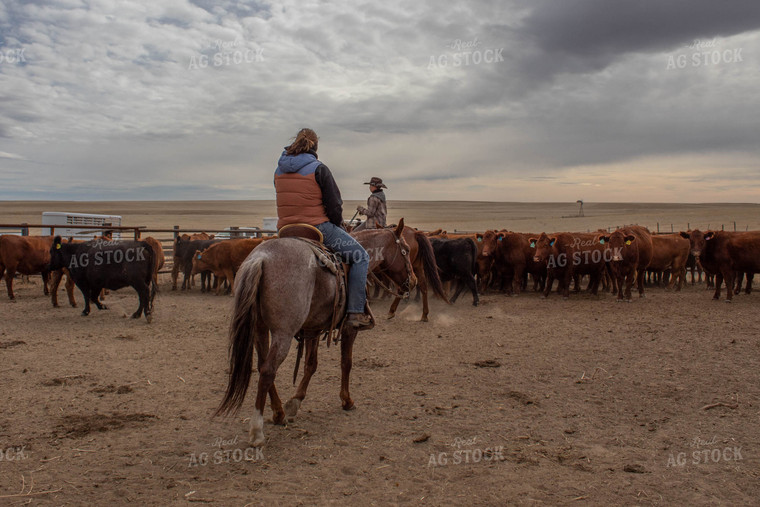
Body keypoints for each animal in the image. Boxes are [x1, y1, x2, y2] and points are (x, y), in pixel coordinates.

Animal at [214, 220, 416, 446]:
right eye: (406, 250)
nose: (414, 281)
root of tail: (261, 258)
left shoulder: (313, 329)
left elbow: (311, 364)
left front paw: (295, 402)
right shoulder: (349, 329)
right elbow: (346, 363)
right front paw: (347, 400)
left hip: (259, 328)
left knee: (262, 365)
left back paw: (279, 413)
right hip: (283, 333)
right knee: (268, 370)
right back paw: (257, 430)